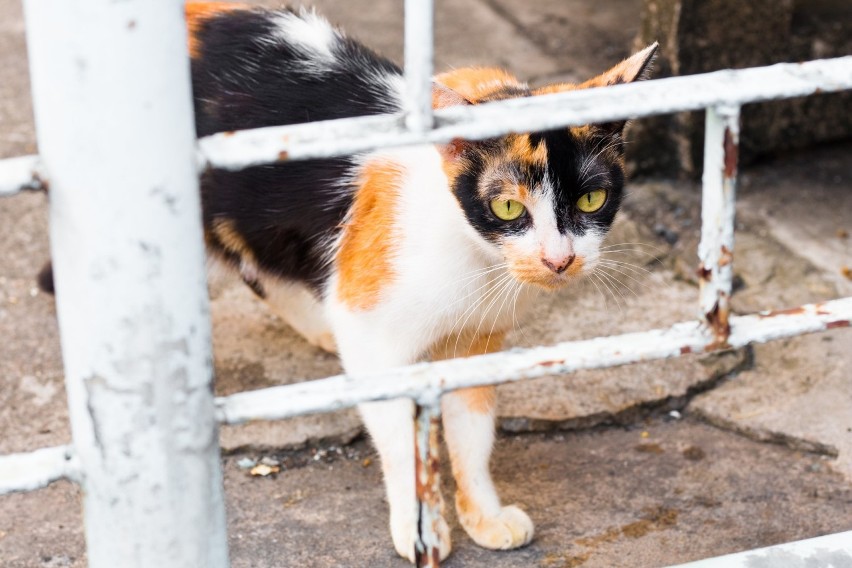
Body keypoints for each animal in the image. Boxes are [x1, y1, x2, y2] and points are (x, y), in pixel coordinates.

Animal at [40, 3, 656, 564]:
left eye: (593, 199)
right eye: (508, 207)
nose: (559, 259)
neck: (475, 260)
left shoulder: (477, 340)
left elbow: (474, 434)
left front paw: (484, 514)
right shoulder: (375, 337)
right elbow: (400, 437)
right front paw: (421, 529)